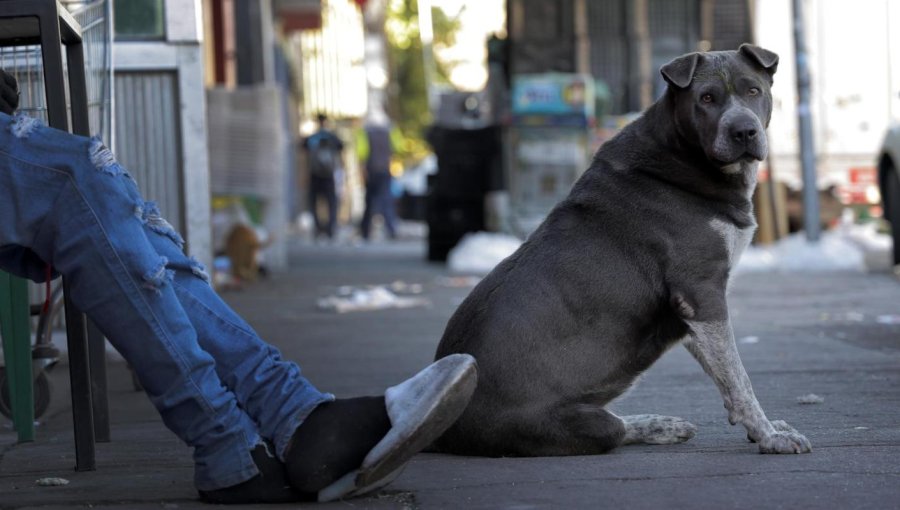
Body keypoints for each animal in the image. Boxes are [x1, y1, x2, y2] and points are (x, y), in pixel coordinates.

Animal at [432, 45, 812, 456]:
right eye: (707, 98)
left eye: (753, 90)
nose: (744, 130)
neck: (686, 156)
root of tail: (443, 429)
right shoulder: (701, 294)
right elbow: (738, 378)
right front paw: (770, 436)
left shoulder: (690, 312)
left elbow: (724, 373)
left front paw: (762, 429)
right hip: (563, 424)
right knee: (612, 428)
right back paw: (660, 426)